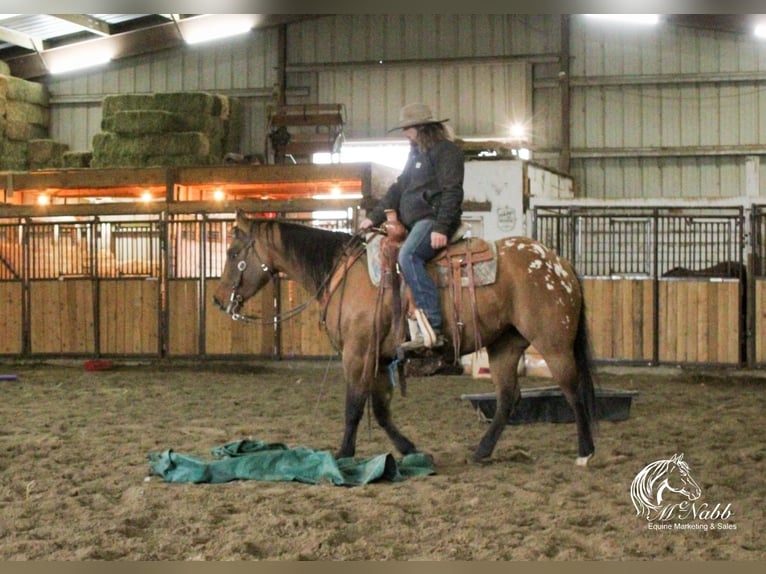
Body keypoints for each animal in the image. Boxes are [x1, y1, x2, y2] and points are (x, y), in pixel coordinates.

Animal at [214, 212, 600, 468]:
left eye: (234, 254)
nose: (218, 300)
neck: (343, 274)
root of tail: (559, 263)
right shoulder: (381, 358)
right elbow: (381, 410)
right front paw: (410, 448)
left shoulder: (358, 353)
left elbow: (354, 406)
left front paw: (343, 454)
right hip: (505, 344)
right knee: (508, 398)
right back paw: (481, 451)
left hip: (553, 344)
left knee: (573, 389)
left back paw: (585, 452)